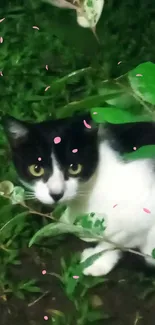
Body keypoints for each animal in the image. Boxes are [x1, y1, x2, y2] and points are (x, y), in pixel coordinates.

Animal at [2, 113, 155, 276]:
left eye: (74, 168)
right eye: (36, 169)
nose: (56, 193)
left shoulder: (144, 207)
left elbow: (118, 238)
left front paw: (97, 260)